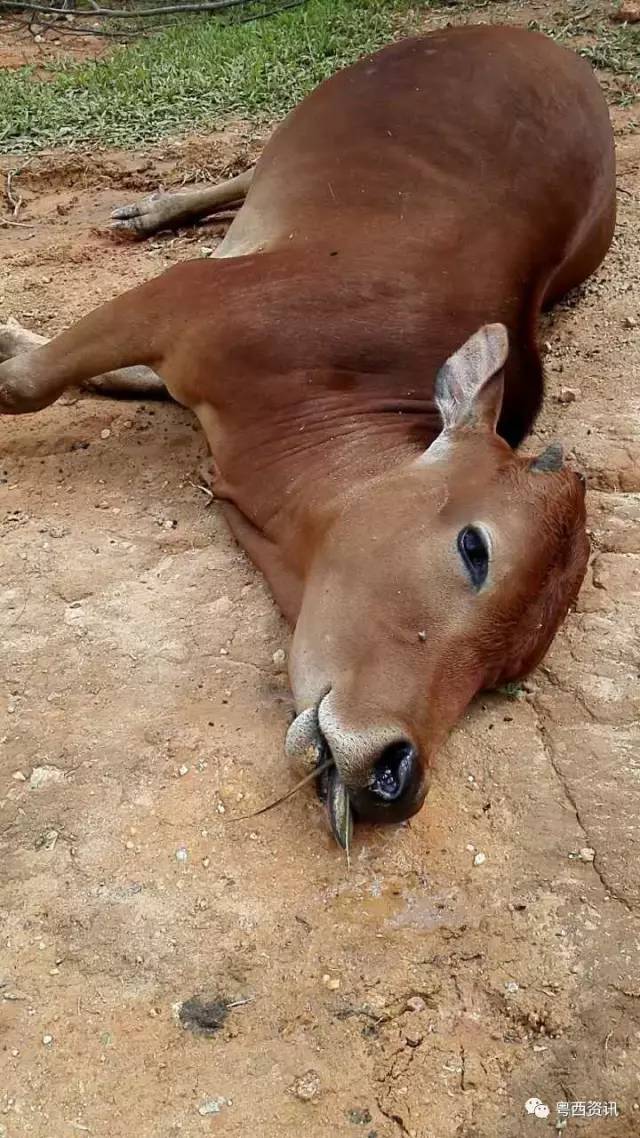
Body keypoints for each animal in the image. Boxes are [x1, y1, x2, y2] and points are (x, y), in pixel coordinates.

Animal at [0, 26, 614, 851]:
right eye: (474, 548)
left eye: (506, 673)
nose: (397, 775)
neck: (331, 389)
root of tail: (537, 40)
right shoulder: (180, 298)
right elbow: (27, 386)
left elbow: (91, 378)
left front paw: (14, 335)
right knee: (245, 166)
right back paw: (150, 209)